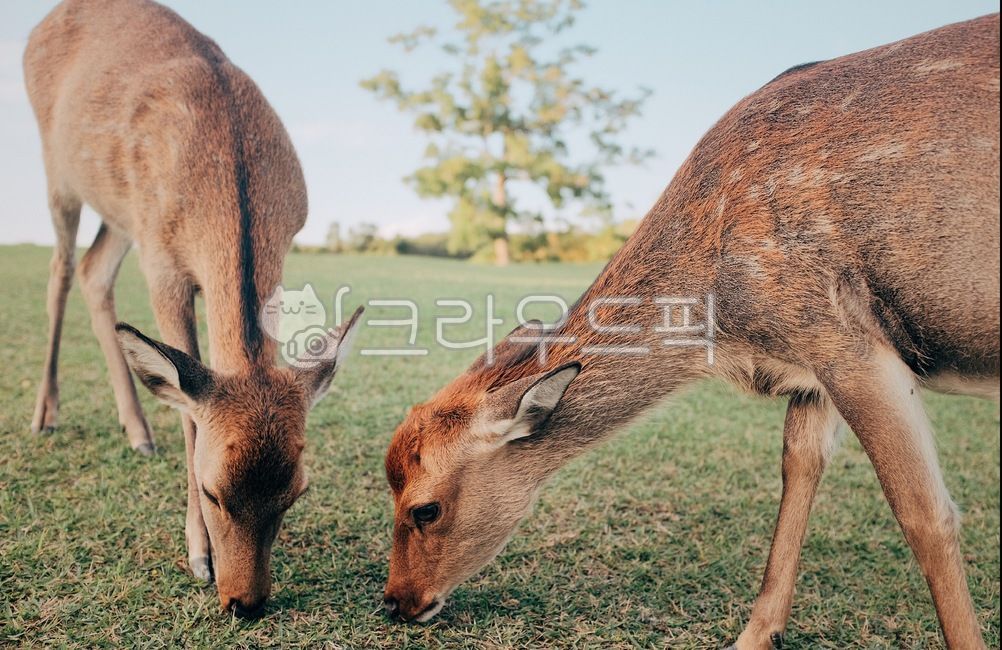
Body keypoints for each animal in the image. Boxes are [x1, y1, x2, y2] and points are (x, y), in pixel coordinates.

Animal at [25, 0, 362, 617]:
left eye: (297, 492)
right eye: (211, 490)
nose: (245, 602)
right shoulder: (162, 267)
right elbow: (185, 405)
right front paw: (199, 556)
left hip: (121, 213)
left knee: (93, 272)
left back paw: (136, 430)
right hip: (58, 171)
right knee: (61, 270)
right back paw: (46, 413)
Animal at [382, 14, 999, 647]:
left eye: (424, 508)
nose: (395, 600)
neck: (725, 327)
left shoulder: (851, 345)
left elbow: (927, 517)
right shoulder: (813, 363)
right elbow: (797, 469)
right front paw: (754, 634)